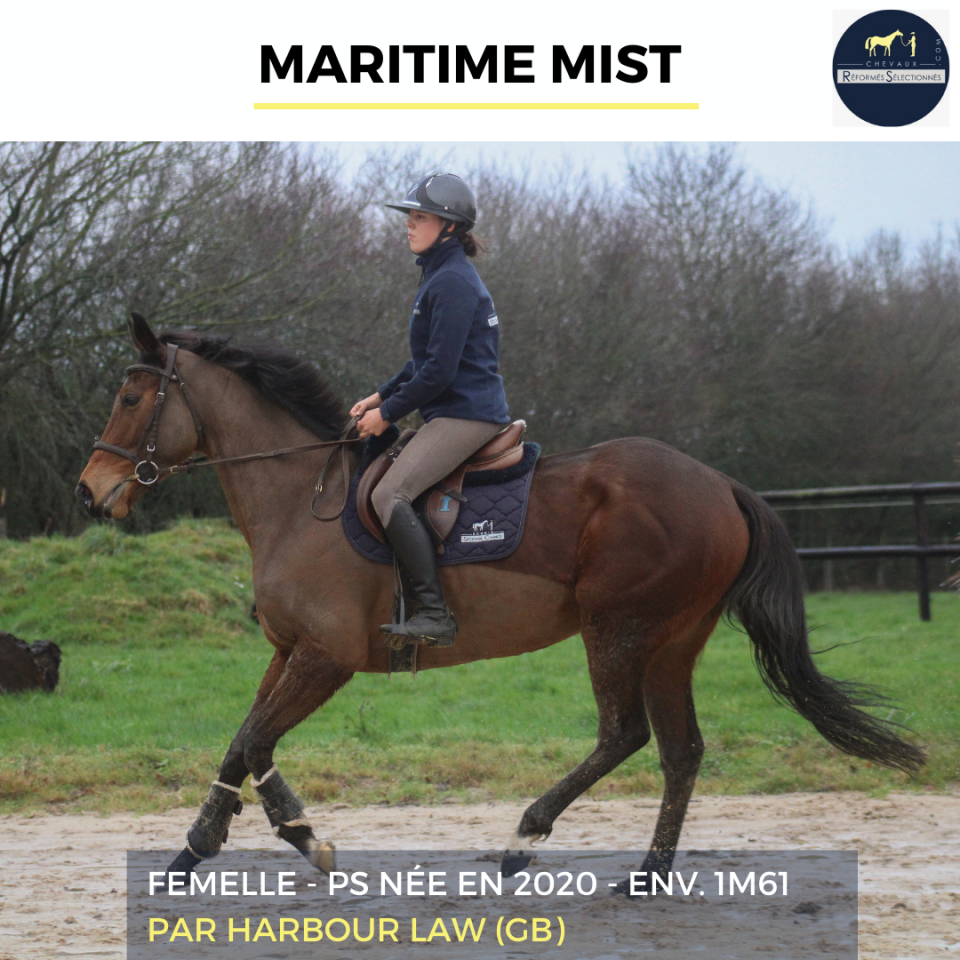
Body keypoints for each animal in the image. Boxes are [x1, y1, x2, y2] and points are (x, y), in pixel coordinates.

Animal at [77, 314, 924, 889]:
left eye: (130, 396)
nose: (90, 493)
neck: (297, 498)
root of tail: (718, 483)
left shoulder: (325, 659)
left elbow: (256, 744)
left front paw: (305, 834)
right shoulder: (287, 653)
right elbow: (238, 742)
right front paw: (191, 851)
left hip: (618, 627)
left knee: (625, 734)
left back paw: (525, 837)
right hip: (673, 640)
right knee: (681, 750)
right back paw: (646, 876)